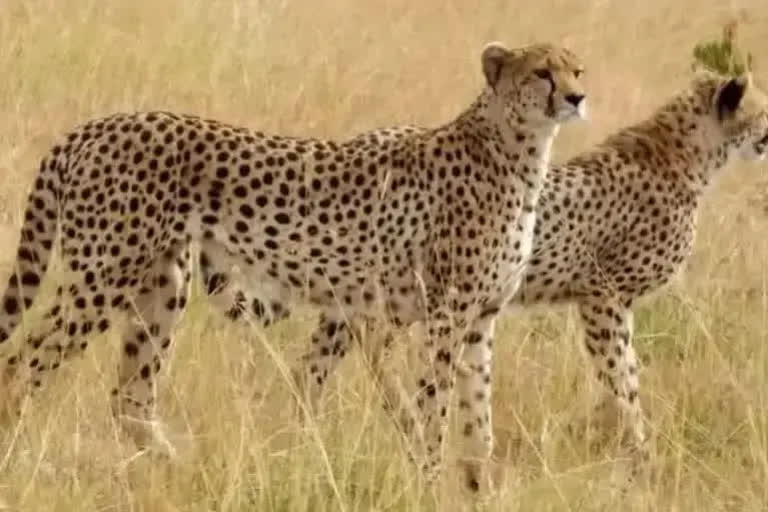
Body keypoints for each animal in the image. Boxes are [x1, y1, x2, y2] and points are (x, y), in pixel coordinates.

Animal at [0, 43, 588, 488]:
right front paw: (430, 475)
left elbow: (479, 410)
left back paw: (180, 467)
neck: (517, 149)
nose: (577, 97)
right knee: (21, 363)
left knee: (130, 396)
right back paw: (17, 455)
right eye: (542, 72)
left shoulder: (479, 318)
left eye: (576, 69)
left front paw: (474, 481)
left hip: (163, 283)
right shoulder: (446, 315)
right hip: (102, 278)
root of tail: (92, 128)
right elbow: (435, 404)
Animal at [212, 71, 768, 484]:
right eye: (763, 112)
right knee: (368, 354)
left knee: (314, 364)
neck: (686, 155)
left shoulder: (604, 302)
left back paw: (306, 435)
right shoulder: (603, 298)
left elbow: (628, 377)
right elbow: (623, 382)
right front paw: (642, 459)